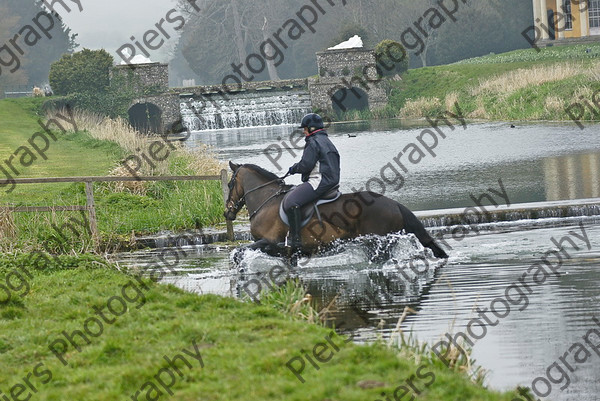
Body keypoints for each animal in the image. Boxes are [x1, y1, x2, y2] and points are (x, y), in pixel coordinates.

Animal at [223, 162, 448, 260]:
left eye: (229, 184)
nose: (228, 213)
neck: (265, 200)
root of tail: (394, 203)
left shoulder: (269, 242)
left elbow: (238, 253)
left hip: (379, 241)